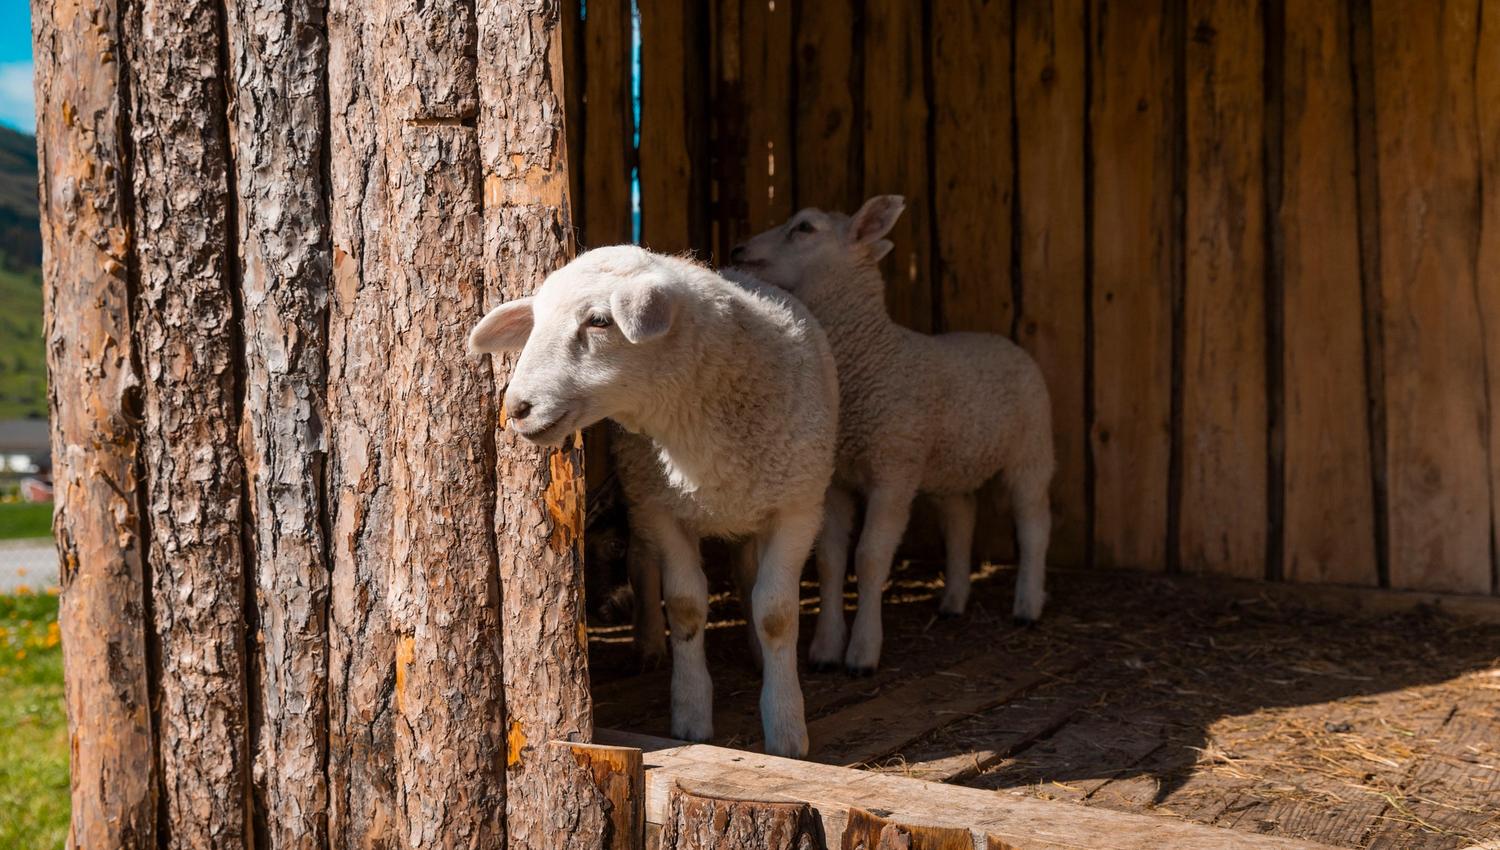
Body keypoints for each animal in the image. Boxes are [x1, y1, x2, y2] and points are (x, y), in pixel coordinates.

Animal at [468, 245, 838, 757]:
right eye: (536, 321)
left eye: (599, 321)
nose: (517, 408)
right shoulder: (663, 509)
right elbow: (684, 605)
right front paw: (690, 713)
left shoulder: (799, 507)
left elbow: (776, 615)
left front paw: (785, 726)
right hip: (640, 491)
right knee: (644, 562)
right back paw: (648, 645)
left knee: (747, 572)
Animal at [729, 196, 1054, 675]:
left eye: (804, 228)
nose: (738, 250)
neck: (871, 357)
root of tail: (1004, 341)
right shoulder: (837, 480)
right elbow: (830, 561)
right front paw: (826, 648)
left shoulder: (893, 470)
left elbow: (869, 558)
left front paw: (863, 652)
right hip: (950, 462)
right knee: (961, 517)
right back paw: (953, 601)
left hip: (1031, 450)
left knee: (1033, 522)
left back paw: (1028, 606)